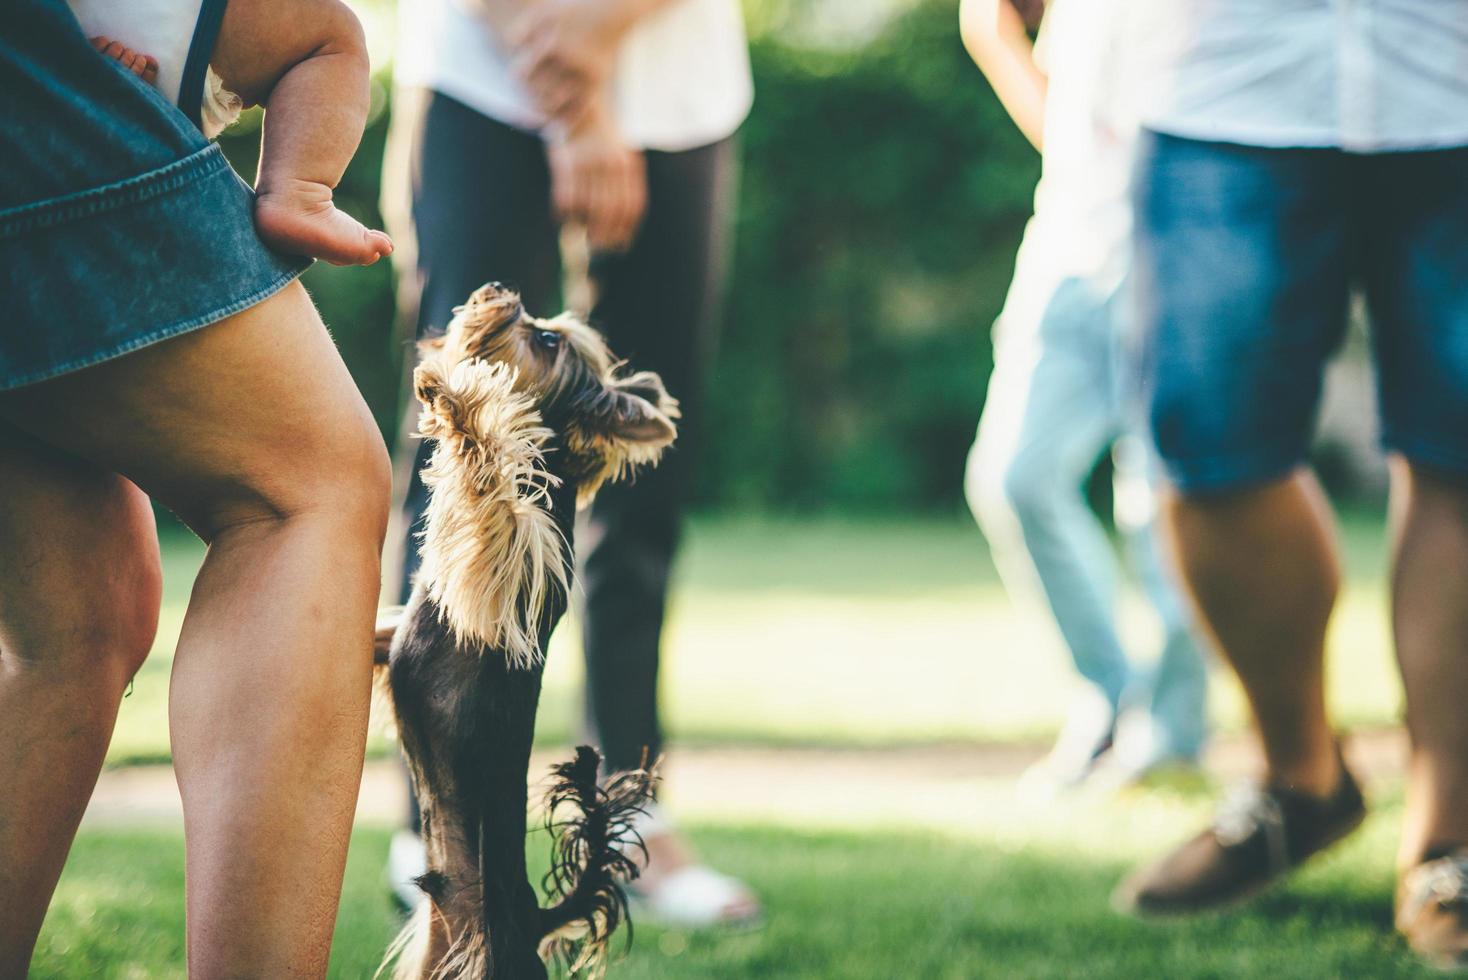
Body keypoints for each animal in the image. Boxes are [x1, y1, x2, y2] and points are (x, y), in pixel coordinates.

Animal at [375, 283, 678, 979]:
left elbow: (486, 469)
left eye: (545, 340)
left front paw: (453, 399)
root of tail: (534, 919)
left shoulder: (515, 551)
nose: (499, 292)